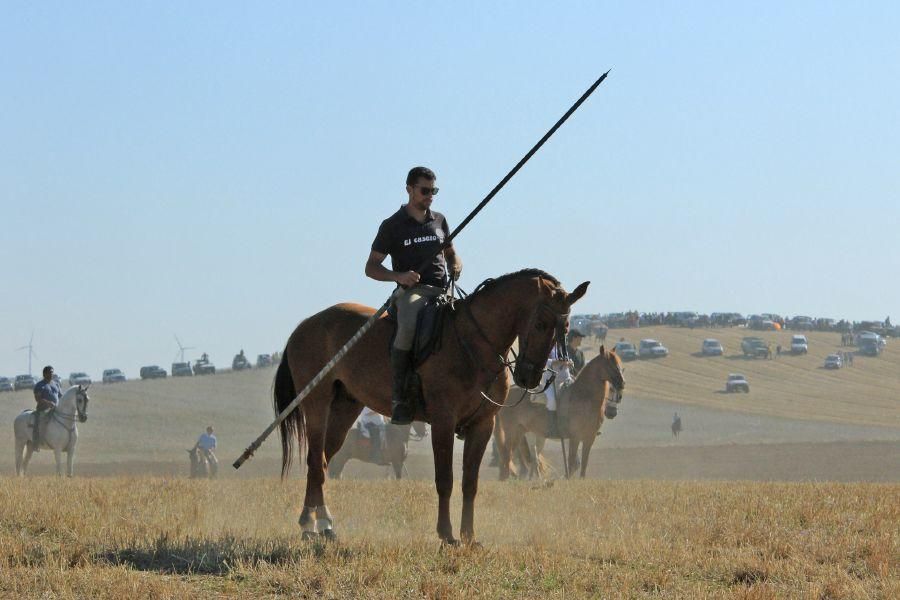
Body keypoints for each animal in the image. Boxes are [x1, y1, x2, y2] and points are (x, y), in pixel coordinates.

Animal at [274, 268, 588, 544]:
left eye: (565, 327)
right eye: (539, 324)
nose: (529, 376)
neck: (474, 343)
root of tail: (305, 325)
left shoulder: (482, 425)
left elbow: (470, 482)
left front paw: (469, 536)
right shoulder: (443, 421)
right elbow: (445, 479)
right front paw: (446, 535)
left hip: (345, 409)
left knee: (323, 461)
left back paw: (319, 524)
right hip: (316, 404)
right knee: (316, 460)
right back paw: (313, 523)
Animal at [496, 346, 624, 478]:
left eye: (620, 365)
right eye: (610, 365)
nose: (622, 383)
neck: (584, 397)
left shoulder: (589, 438)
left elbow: (583, 465)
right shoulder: (574, 437)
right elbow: (572, 462)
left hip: (523, 433)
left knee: (528, 457)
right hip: (513, 432)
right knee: (510, 457)